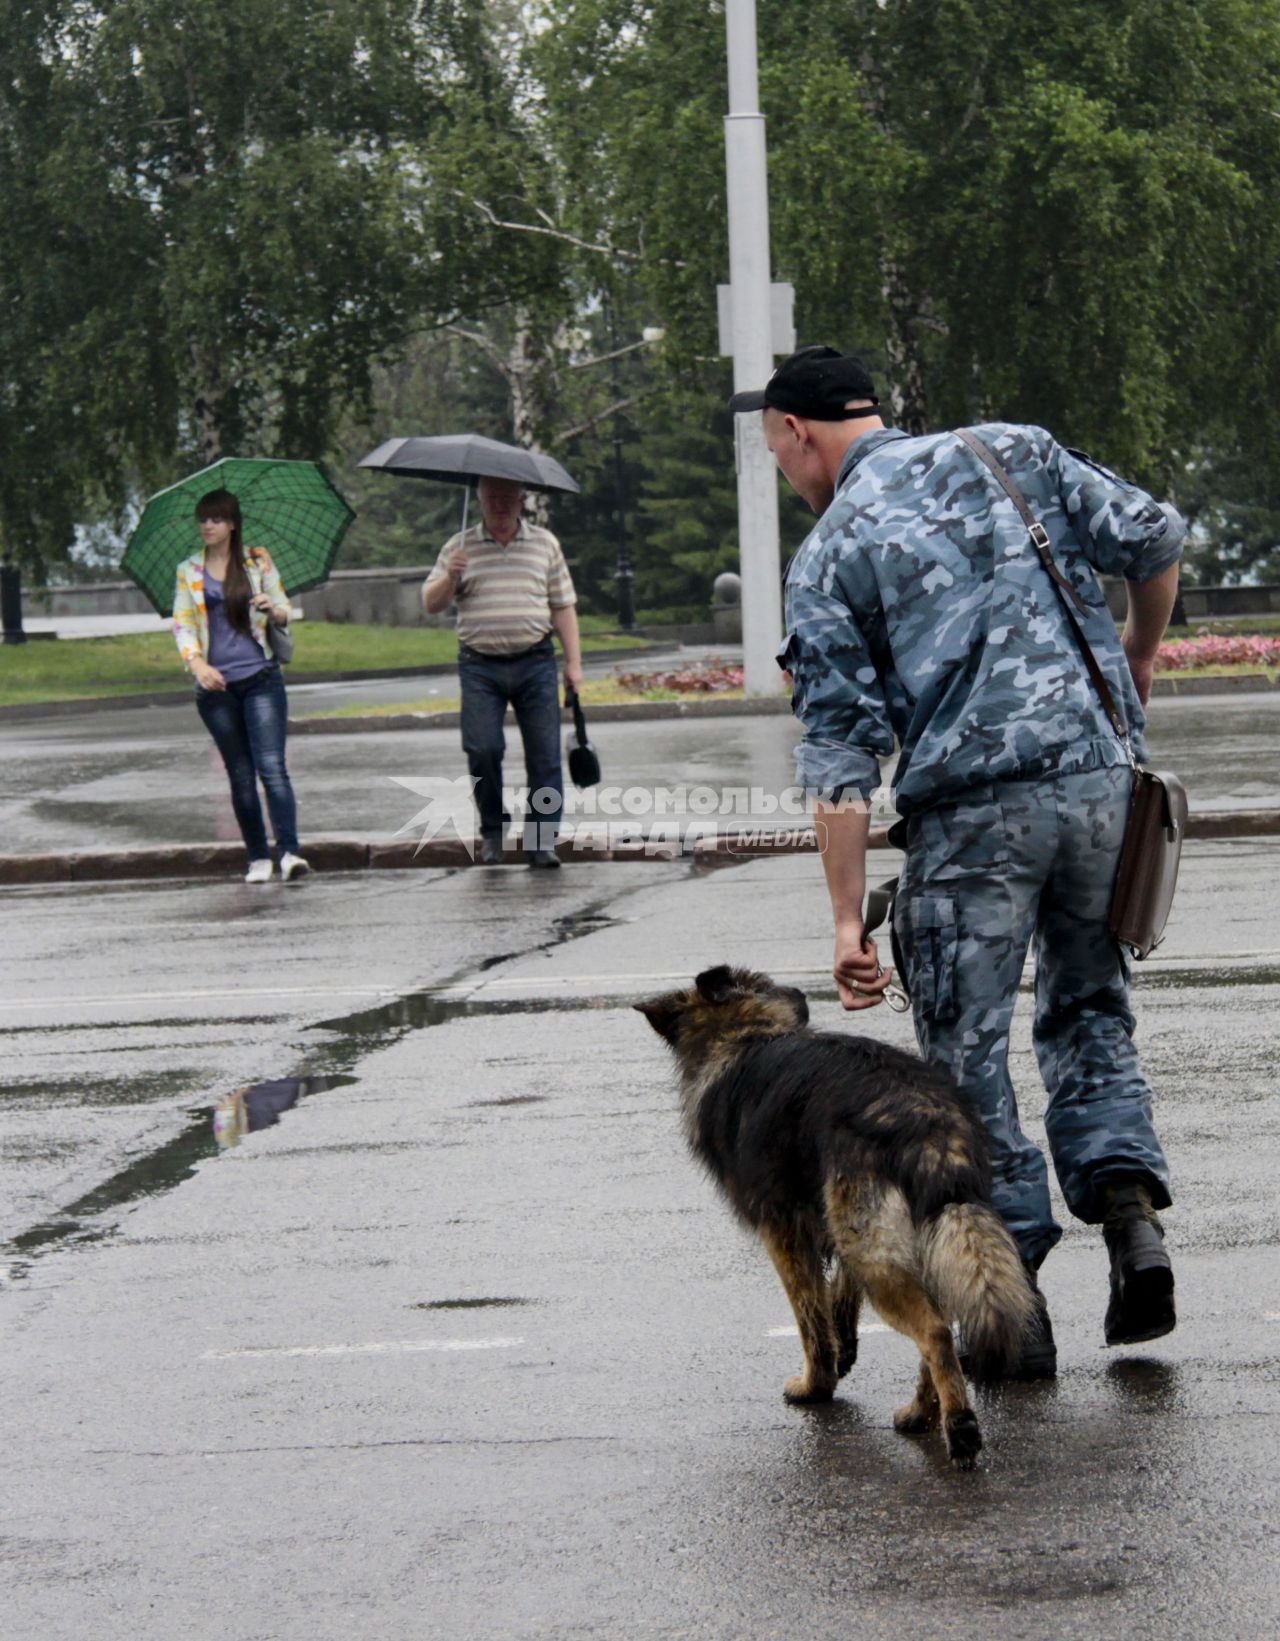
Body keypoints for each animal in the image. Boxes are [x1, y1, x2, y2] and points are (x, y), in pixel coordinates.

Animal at [633, 958, 1037, 1463]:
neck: (747, 1035)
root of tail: (931, 1123)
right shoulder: (834, 1226)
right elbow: (838, 1295)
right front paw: (844, 1349)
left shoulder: (783, 1234)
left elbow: (810, 1316)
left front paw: (816, 1384)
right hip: (915, 1239)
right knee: (942, 1321)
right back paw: (922, 1412)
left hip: (877, 1255)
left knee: (936, 1331)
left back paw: (960, 1428)